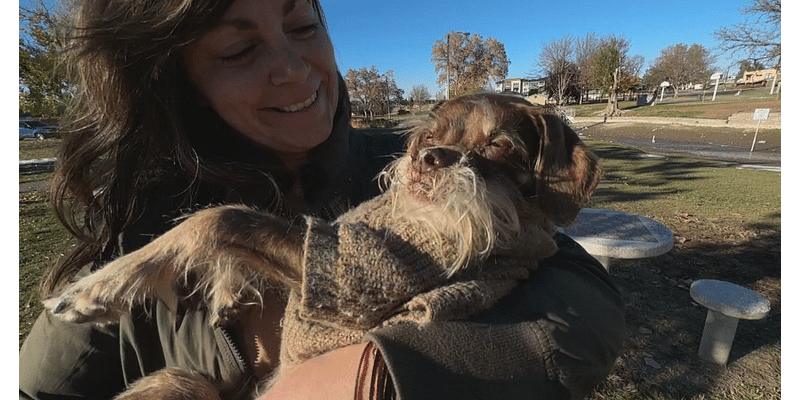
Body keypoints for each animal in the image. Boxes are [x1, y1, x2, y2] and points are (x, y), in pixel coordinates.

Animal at [45, 93, 600, 396]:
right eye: (427, 137)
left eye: (500, 145)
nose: (428, 159)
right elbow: (234, 231)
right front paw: (225, 292)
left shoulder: (350, 278)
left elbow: (219, 218)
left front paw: (96, 288)